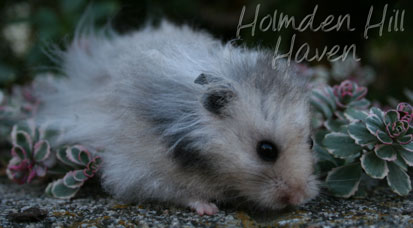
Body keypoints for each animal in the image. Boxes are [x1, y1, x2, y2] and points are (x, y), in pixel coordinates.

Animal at [36, 20, 318, 215]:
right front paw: (208, 209)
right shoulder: (144, 174)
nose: (299, 198)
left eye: (311, 142)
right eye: (266, 150)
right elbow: (184, 194)